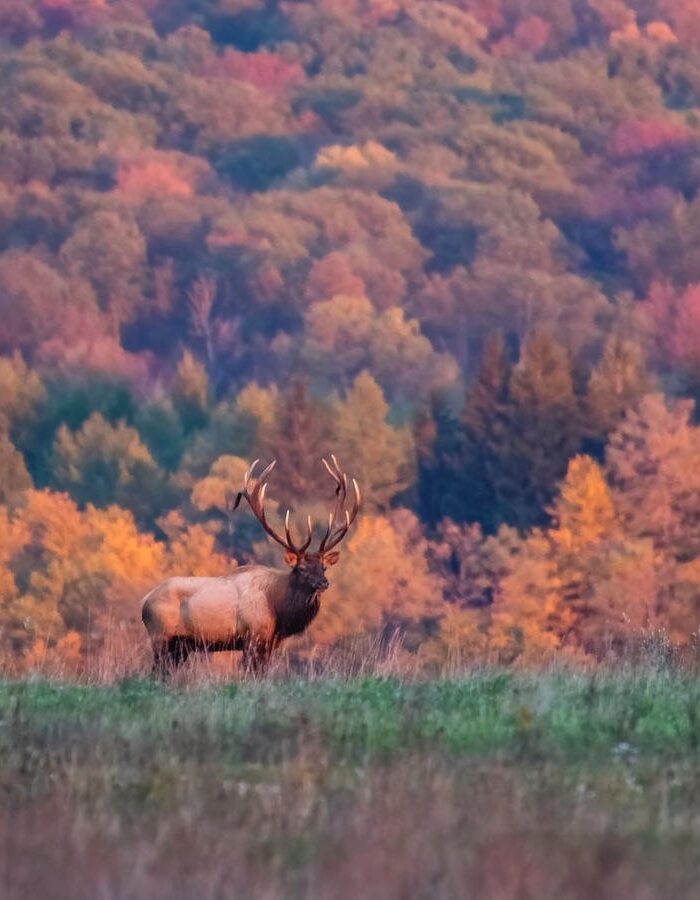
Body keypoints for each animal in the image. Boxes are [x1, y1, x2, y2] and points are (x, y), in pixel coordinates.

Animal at [141, 455, 360, 676]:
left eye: (324, 567)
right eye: (302, 568)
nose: (324, 583)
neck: (279, 610)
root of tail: (144, 601)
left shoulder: (270, 642)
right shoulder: (252, 636)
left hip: (181, 646)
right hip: (161, 636)